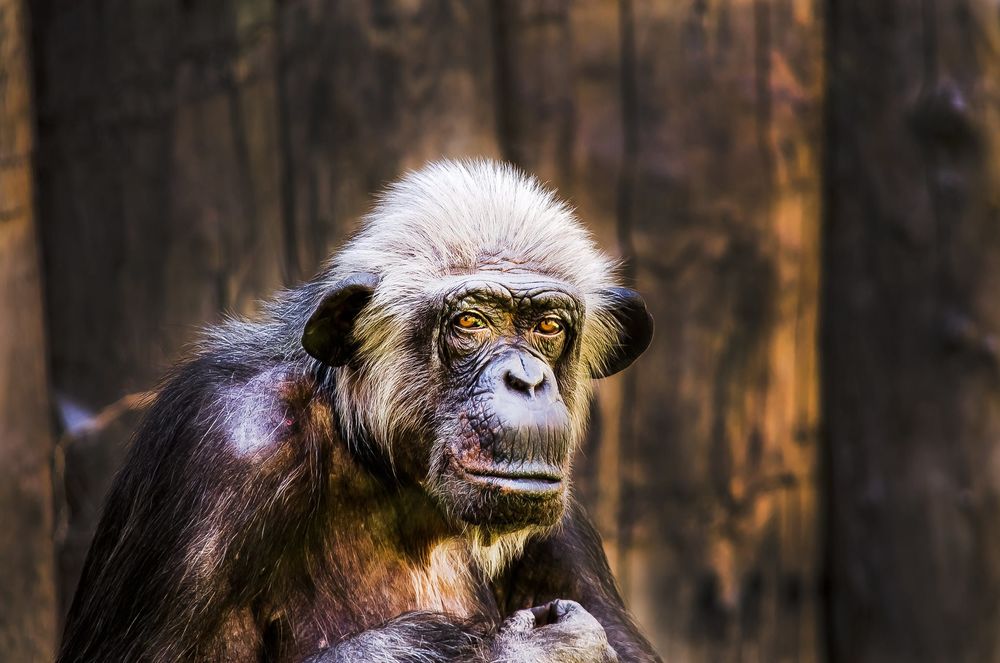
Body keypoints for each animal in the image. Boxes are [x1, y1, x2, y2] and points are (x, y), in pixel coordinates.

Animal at [57, 160, 660, 662]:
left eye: (548, 326)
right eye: (470, 322)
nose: (527, 380)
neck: (382, 464)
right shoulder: (228, 449)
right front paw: (530, 648)